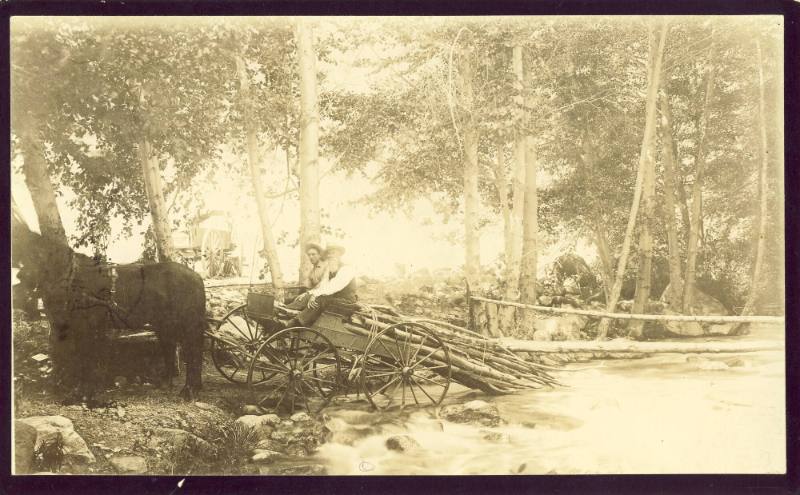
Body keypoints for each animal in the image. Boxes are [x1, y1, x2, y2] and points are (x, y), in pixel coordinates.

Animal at [12, 218, 206, 404]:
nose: (18, 287)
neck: (71, 278)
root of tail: (197, 277)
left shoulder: (85, 329)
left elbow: (84, 358)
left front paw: (83, 391)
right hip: (163, 324)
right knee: (170, 347)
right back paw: (166, 383)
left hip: (188, 325)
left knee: (193, 352)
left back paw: (190, 390)